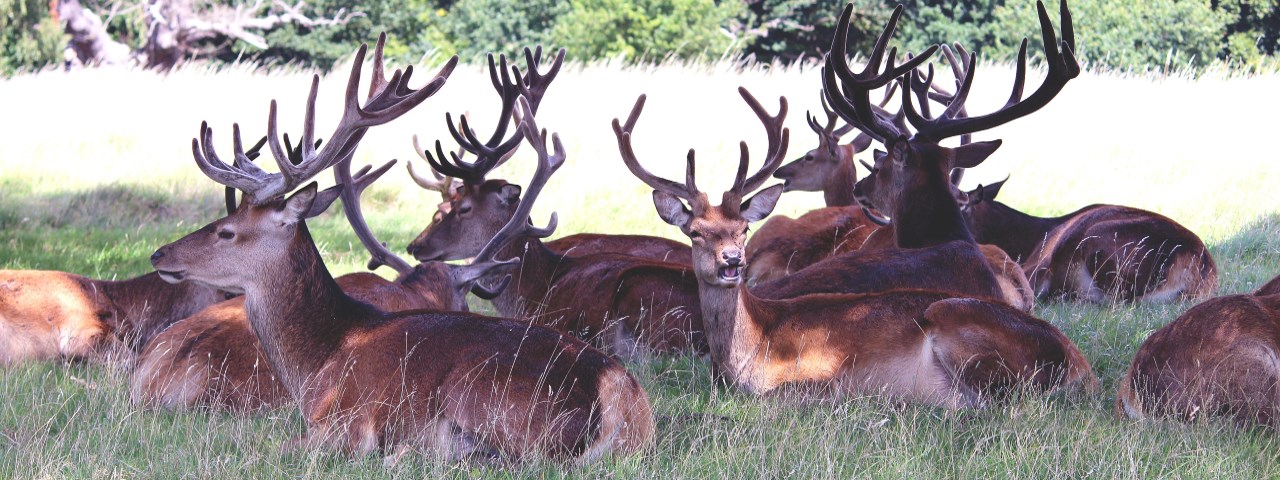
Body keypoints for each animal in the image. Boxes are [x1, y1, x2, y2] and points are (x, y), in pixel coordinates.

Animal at [146, 39, 655, 460]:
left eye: (226, 231)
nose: (159, 255)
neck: (316, 365)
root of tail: (618, 392)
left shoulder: (342, 423)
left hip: (486, 398)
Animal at [614, 81, 1095, 401]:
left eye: (742, 229)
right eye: (695, 232)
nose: (732, 261)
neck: (754, 352)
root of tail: (1082, 366)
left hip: (951, 315)